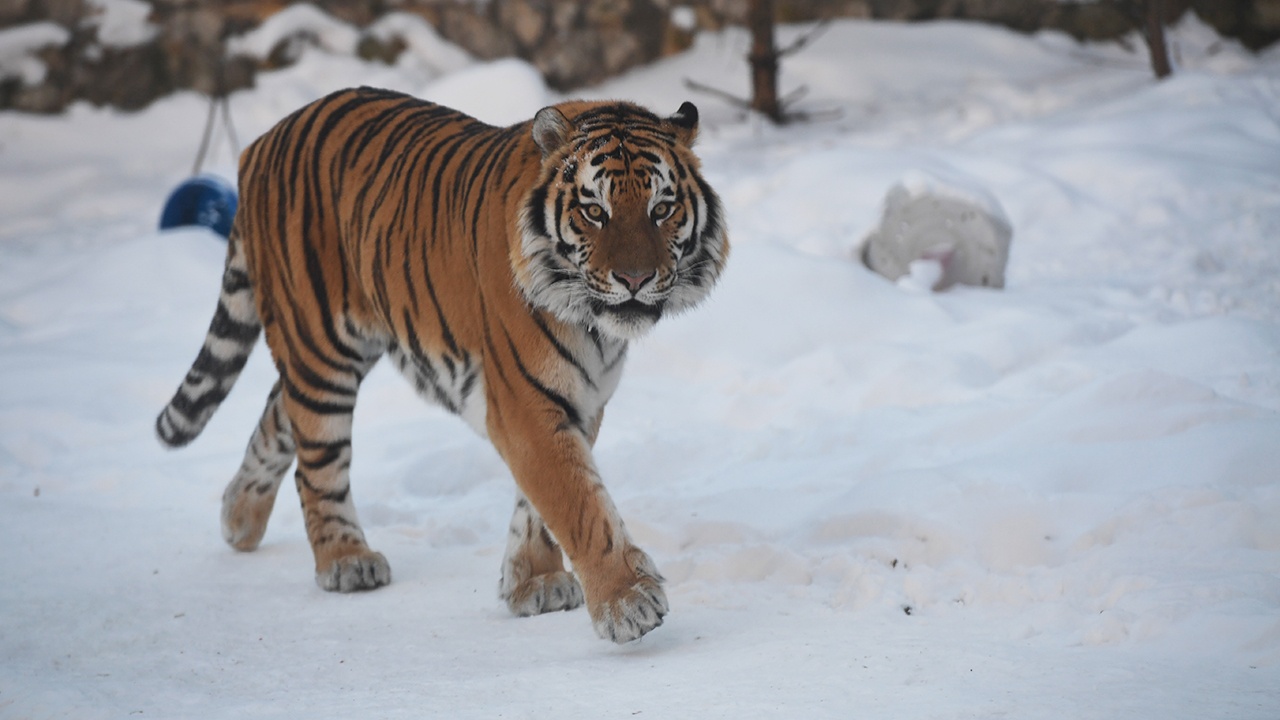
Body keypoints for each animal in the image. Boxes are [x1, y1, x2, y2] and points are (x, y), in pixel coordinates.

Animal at [154, 87, 727, 640]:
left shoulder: (580, 399)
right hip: (321, 348)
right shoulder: (524, 402)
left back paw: (239, 517)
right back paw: (345, 561)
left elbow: (541, 505)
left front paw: (533, 581)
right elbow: (578, 502)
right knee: (316, 461)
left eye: (661, 209)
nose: (635, 279)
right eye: (594, 212)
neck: (594, 326)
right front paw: (627, 602)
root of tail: (262, 142)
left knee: (277, 415)